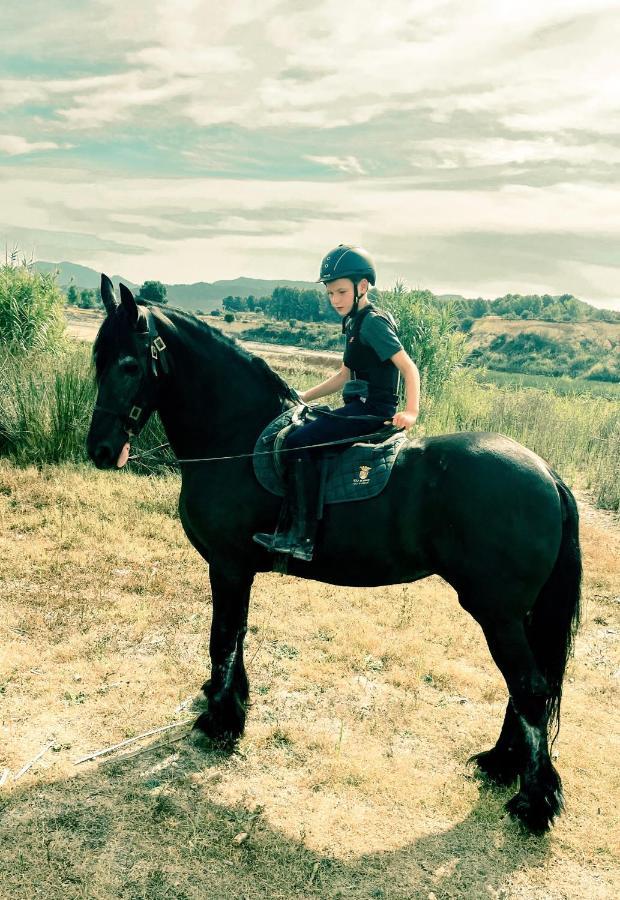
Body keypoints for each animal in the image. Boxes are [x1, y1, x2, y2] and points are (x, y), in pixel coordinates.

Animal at [87, 278, 580, 832]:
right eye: (100, 361)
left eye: (130, 365)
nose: (99, 450)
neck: (237, 436)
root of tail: (546, 473)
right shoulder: (237, 572)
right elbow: (237, 636)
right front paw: (229, 705)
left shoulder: (228, 567)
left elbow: (223, 640)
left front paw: (219, 720)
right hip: (514, 615)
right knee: (526, 688)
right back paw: (501, 764)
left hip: (497, 614)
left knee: (530, 688)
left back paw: (533, 801)